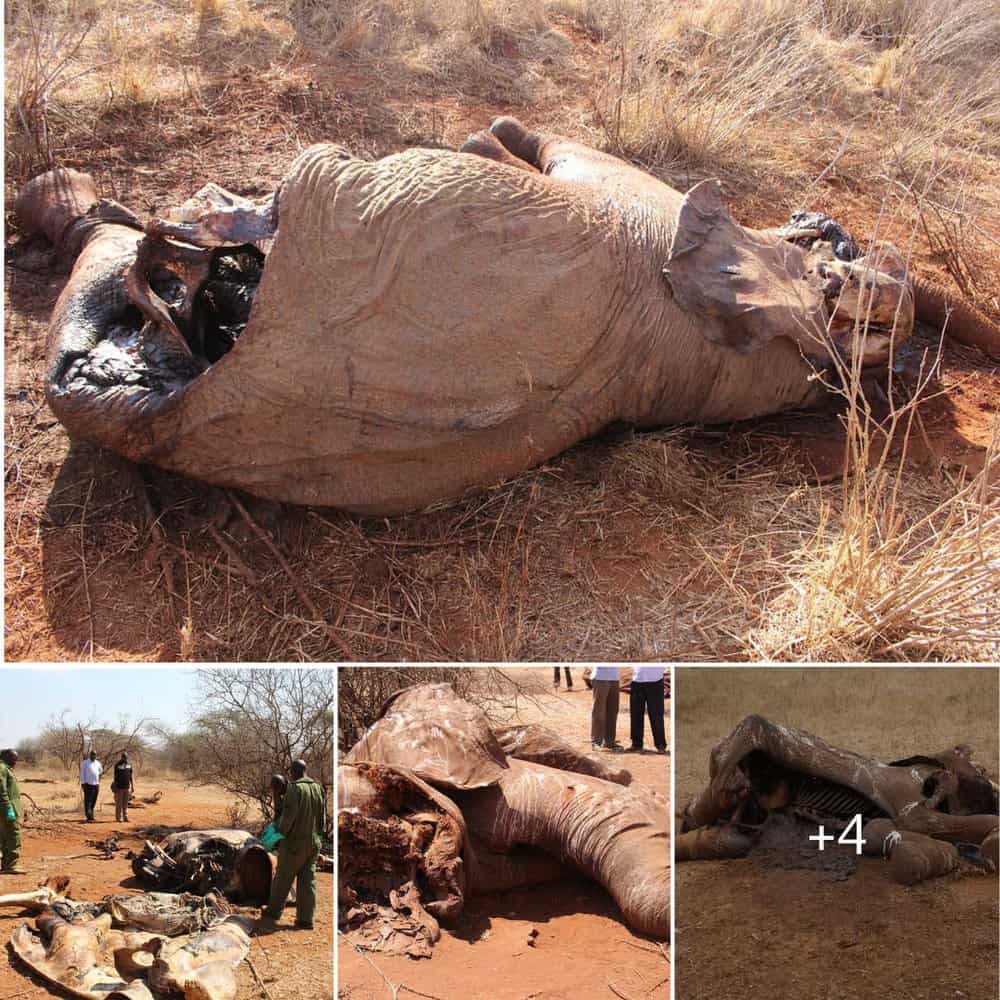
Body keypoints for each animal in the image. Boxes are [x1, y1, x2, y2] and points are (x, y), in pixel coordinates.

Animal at [676, 714, 999, 885]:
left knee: (723, 830)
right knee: (746, 738)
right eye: (981, 769)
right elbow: (979, 820)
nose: (988, 778)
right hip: (755, 743)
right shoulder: (913, 811)